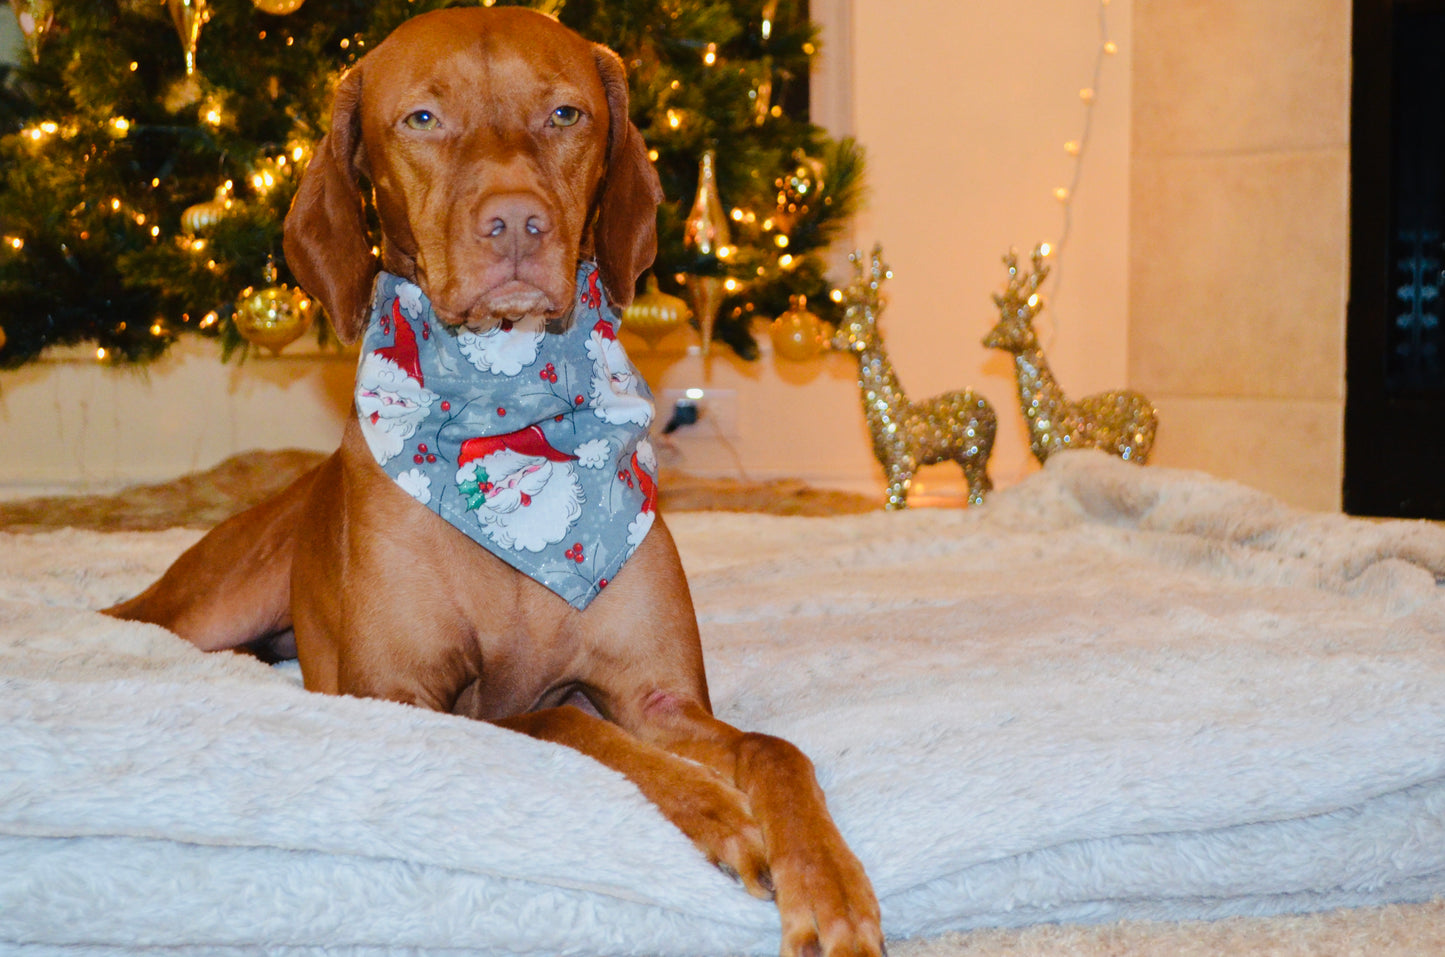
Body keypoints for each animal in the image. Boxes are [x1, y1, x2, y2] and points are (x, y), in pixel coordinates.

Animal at [104, 9, 878, 957]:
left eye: (565, 114)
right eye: (422, 120)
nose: (515, 221)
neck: (509, 429)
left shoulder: (658, 695)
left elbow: (774, 747)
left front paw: (829, 884)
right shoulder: (407, 696)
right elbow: (556, 718)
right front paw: (716, 810)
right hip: (210, 604)